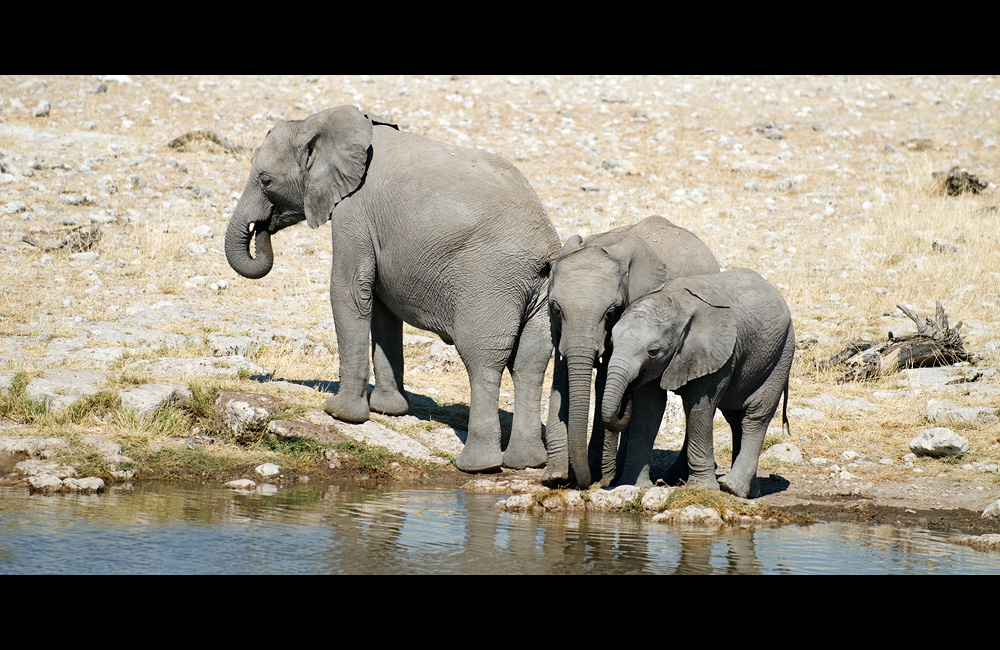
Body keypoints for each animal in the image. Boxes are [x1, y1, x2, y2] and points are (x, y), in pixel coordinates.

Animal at [540, 213, 720, 486]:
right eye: (556, 308)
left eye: (611, 311)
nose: (583, 481)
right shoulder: (557, 326)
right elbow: (562, 377)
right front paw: (555, 477)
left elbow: (604, 382)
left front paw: (599, 477)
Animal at [600, 268, 796, 496]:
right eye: (612, 343)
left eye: (653, 351)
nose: (626, 398)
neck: (674, 303)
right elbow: (649, 408)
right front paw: (634, 485)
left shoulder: (715, 353)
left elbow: (699, 408)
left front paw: (702, 489)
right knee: (735, 418)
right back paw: (748, 492)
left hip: (781, 353)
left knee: (755, 416)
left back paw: (731, 488)